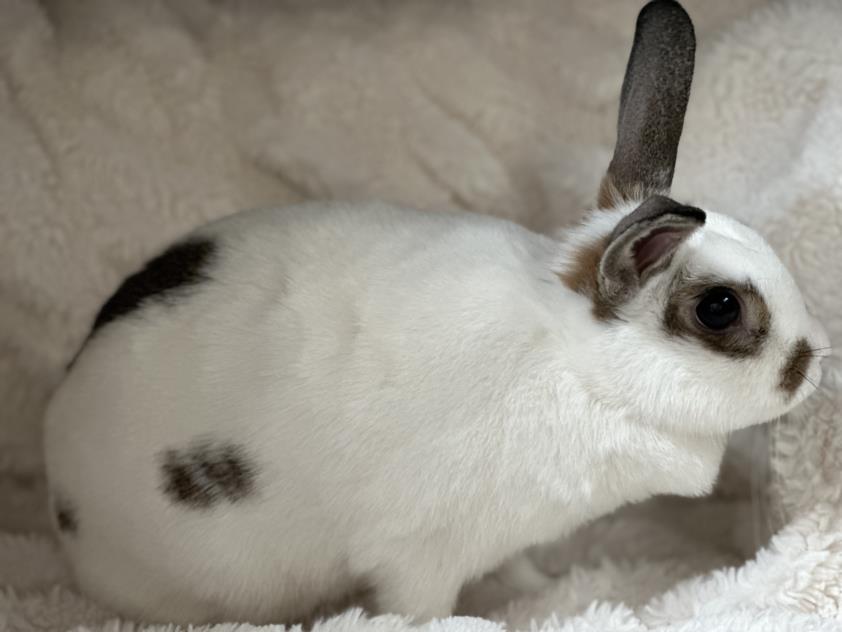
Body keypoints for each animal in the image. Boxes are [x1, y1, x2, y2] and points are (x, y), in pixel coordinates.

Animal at [42, 0, 824, 624]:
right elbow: (420, 606)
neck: (573, 368)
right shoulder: (418, 551)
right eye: (719, 308)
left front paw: (542, 584)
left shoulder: (504, 534)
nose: (811, 364)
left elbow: (517, 565)